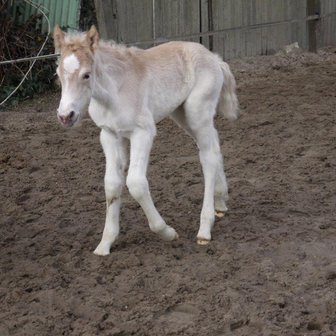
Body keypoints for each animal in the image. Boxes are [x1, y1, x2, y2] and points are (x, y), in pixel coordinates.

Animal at [53, 25, 239, 255]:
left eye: (86, 75)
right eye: (58, 74)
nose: (65, 116)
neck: (116, 92)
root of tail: (214, 58)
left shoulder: (143, 132)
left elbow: (136, 183)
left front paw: (166, 232)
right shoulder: (109, 135)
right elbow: (112, 184)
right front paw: (105, 244)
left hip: (197, 112)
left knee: (208, 158)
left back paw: (205, 228)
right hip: (183, 115)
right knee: (214, 146)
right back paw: (220, 200)